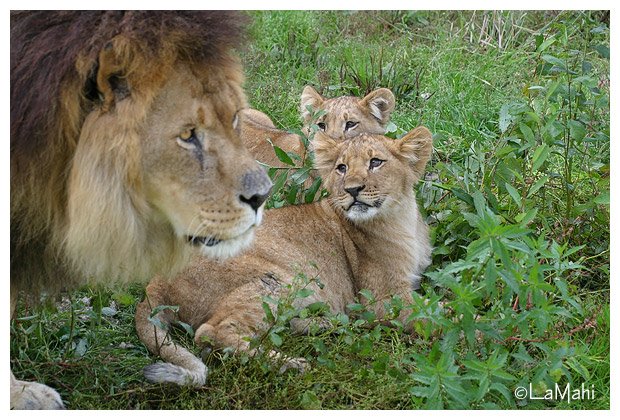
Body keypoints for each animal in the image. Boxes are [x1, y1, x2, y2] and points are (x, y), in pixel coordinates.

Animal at [135, 128, 432, 388]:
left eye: (376, 162)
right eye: (342, 168)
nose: (352, 190)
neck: (401, 218)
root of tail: (156, 280)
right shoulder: (380, 299)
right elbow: (432, 311)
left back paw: (325, 324)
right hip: (278, 279)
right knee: (212, 333)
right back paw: (291, 364)